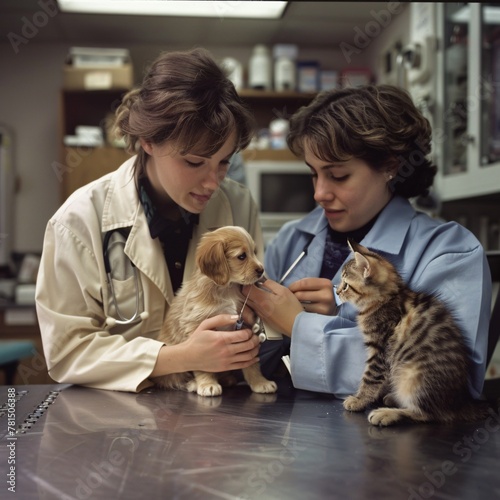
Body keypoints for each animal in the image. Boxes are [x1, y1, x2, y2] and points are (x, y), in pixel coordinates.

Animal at [154, 225, 278, 396]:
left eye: (254, 252)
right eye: (242, 256)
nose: (261, 270)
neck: (228, 289)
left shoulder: (245, 325)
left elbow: (251, 363)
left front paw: (260, 382)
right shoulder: (197, 327)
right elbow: (202, 364)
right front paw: (208, 384)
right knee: (172, 379)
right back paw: (193, 383)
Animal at [336, 239, 488, 426]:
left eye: (346, 285)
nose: (337, 291)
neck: (388, 297)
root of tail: (459, 402)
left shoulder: (380, 349)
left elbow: (371, 378)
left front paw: (359, 400)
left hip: (413, 377)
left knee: (429, 414)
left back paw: (386, 414)